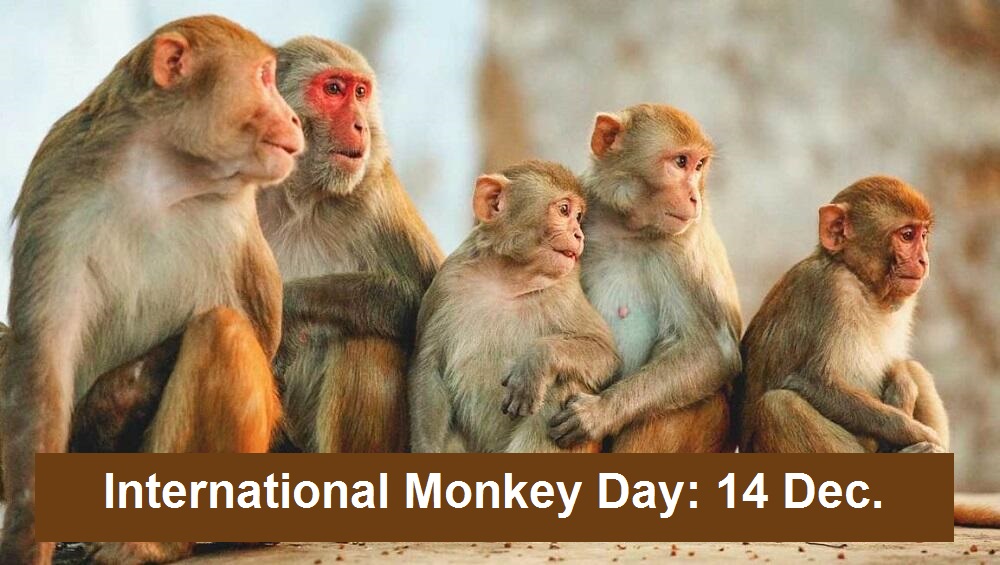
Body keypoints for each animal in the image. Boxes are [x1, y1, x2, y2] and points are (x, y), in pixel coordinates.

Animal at [0, 15, 303, 564]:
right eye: (265, 78)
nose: (294, 118)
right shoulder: (57, 186)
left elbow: (258, 331)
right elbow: (42, 358)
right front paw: (25, 541)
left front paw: (110, 403)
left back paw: (152, 540)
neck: (162, 172)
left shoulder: (236, 217)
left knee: (222, 331)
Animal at [254, 37, 443, 453]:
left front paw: (289, 306)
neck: (299, 199)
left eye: (360, 92)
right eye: (333, 89)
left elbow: (430, 303)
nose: (359, 125)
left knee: (366, 339)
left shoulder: (376, 195)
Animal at [409, 160, 620, 453]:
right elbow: (429, 367)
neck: (508, 278)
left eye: (578, 217)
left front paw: (536, 362)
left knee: (564, 382)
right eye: (564, 210)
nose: (579, 235)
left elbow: (605, 352)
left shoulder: (565, 292)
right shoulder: (446, 282)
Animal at [547, 104, 742, 453]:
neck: (627, 228)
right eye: (681, 162)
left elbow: (713, 351)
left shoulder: (682, 249)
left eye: (699, 165)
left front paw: (598, 413)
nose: (694, 197)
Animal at [734, 175, 1000, 528]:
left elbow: (899, 365)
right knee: (779, 406)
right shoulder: (833, 291)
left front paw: (903, 386)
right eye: (906, 235)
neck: (860, 281)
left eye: (923, 235)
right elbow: (815, 382)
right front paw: (919, 434)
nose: (923, 260)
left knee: (918, 371)